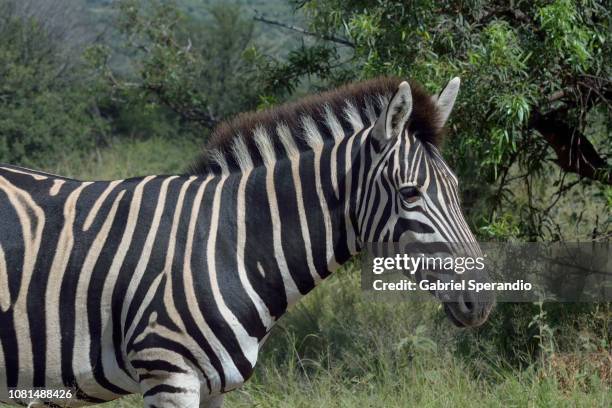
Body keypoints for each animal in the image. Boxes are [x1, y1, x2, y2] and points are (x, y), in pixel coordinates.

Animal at [0, 75, 494, 404]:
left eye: (455, 187)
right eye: (411, 193)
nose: (484, 301)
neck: (230, 247)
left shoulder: (212, 386)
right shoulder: (167, 374)